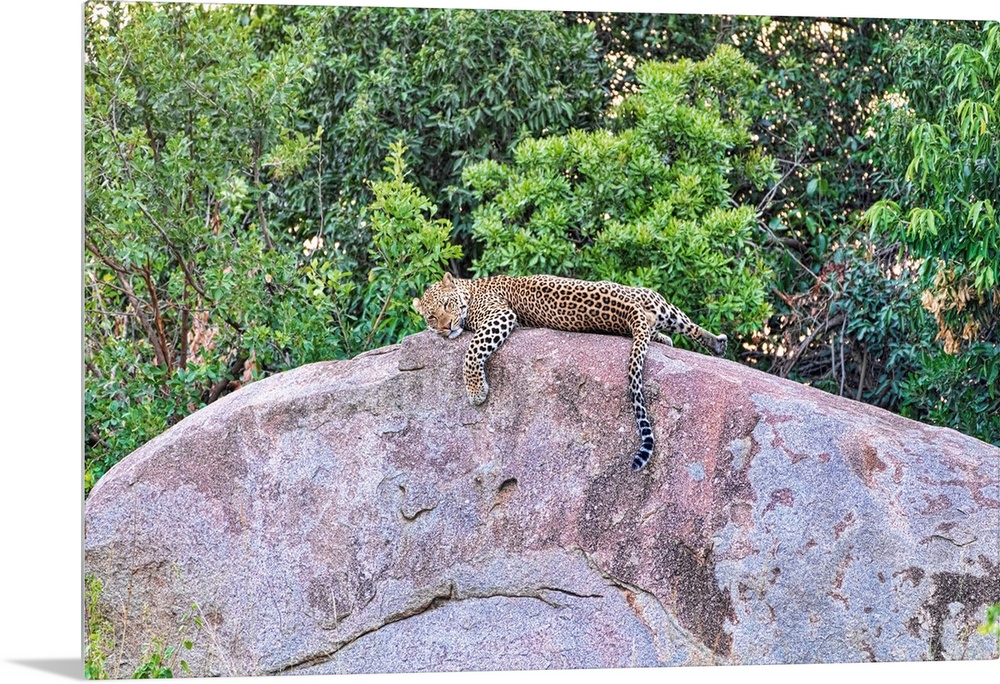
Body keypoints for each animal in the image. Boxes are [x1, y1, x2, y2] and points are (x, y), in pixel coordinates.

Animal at [412, 273, 727, 471]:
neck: (469, 289)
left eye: (446, 305)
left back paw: (718, 343)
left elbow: (472, 350)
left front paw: (476, 391)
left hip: (651, 296)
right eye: (431, 317)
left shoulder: (498, 316)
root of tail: (626, 308)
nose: (446, 327)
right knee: (657, 328)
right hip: (648, 309)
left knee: (688, 326)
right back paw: (679, 340)